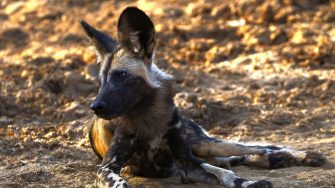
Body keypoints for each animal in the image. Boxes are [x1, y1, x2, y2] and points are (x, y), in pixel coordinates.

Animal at [80, 6, 326, 187]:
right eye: (100, 82)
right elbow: (120, 182)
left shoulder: (187, 161)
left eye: (120, 75)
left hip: (205, 144)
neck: (151, 116)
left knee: (254, 149)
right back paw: (278, 160)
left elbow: (226, 175)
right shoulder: (108, 168)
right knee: (236, 159)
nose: (95, 107)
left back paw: (299, 156)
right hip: (204, 148)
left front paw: (249, 182)